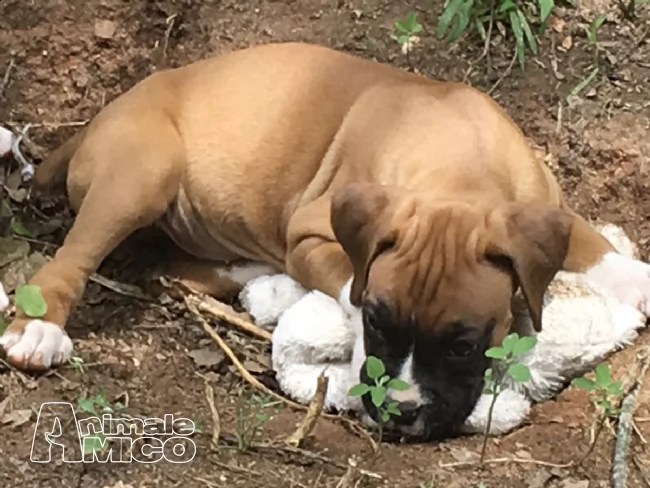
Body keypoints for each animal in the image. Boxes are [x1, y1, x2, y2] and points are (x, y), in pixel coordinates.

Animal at [1, 43, 648, 442]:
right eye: (384, 323)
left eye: (464, 344)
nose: (400, 412)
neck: (458, 168)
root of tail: (99, 118)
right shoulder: (313, 237)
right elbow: (351, 291)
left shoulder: (546, 208)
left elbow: (595, 246)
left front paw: (635, 279)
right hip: (145, 169)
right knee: (74, 257)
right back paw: (40, 329)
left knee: (170, 266)